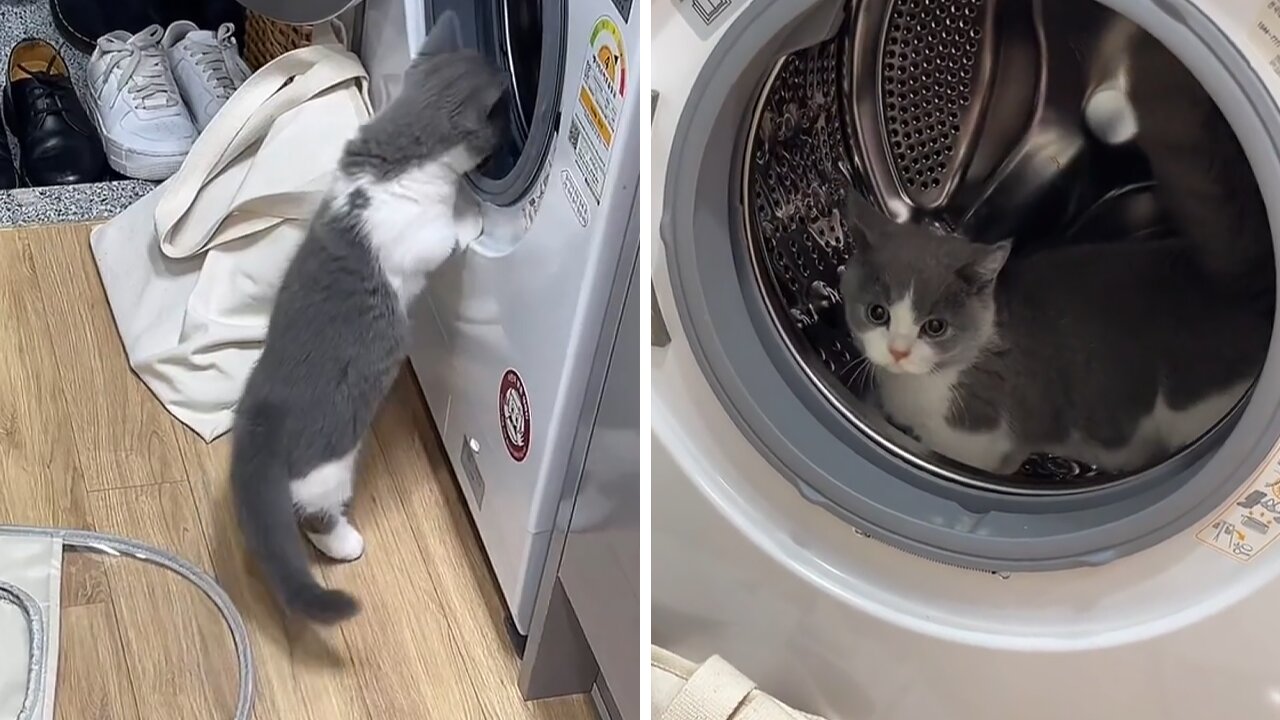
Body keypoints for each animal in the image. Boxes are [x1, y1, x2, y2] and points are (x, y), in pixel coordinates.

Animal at [230, 14, 509, 625]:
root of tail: (261, 416)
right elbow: (449, 235)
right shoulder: (422, 238)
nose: (505, 140)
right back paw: (346, 544)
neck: (395, 158)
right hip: (329, 464)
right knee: (311, 512)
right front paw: (473, 214)